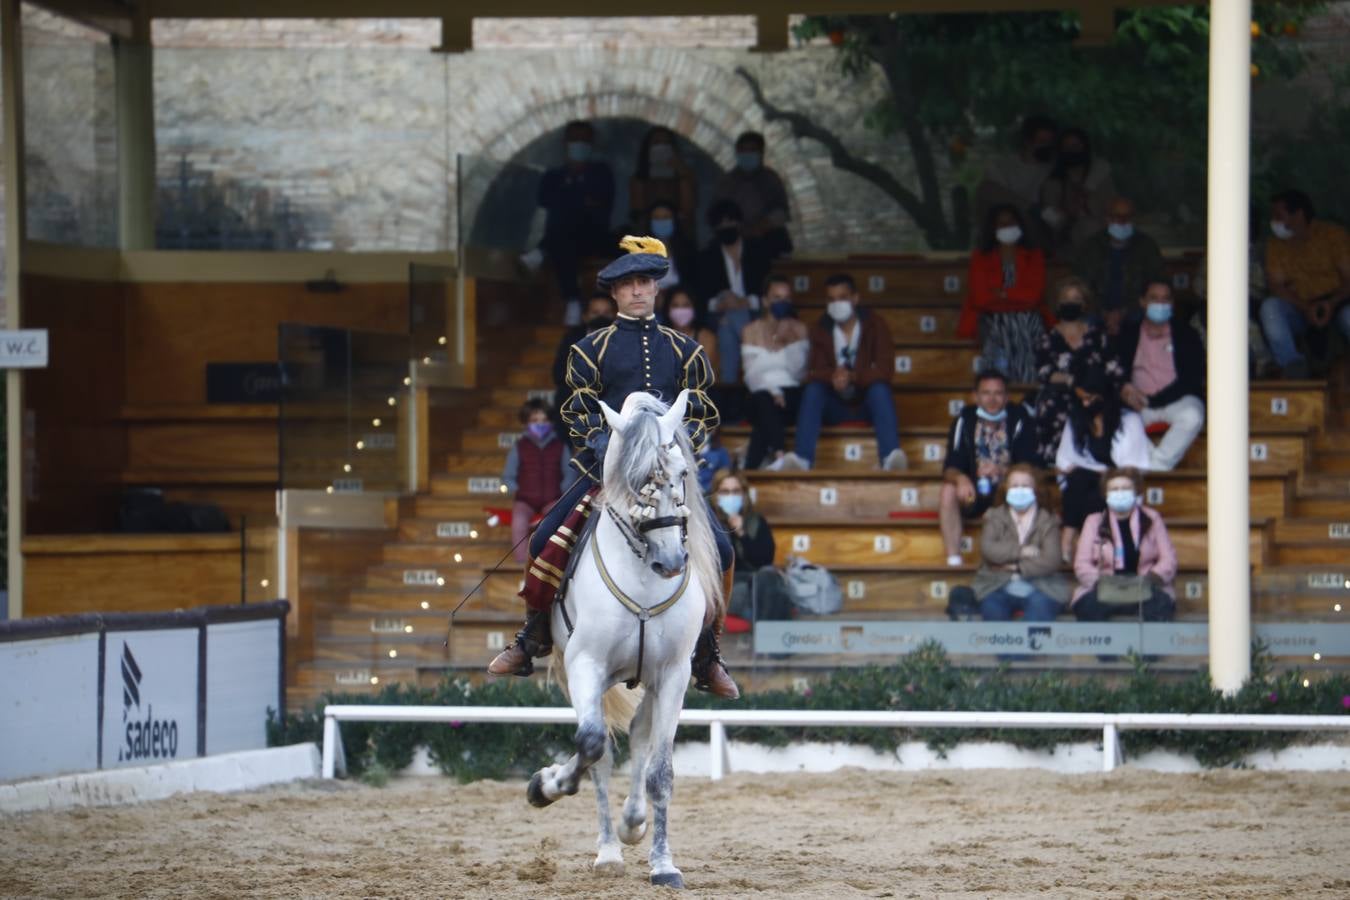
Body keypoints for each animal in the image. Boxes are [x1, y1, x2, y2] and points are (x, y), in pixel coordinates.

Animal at [523, 391, 723, 890]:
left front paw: (664, 864)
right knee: (602, 752)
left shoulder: (673, 675)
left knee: (639, 737)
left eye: (683, 474)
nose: (671, 562)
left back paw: (633, 825)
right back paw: (609, 850)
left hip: (649, 681)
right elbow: (592, 744)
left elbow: (660, 770)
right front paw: (546, 785)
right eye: (635, 483)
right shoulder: (586, 666)